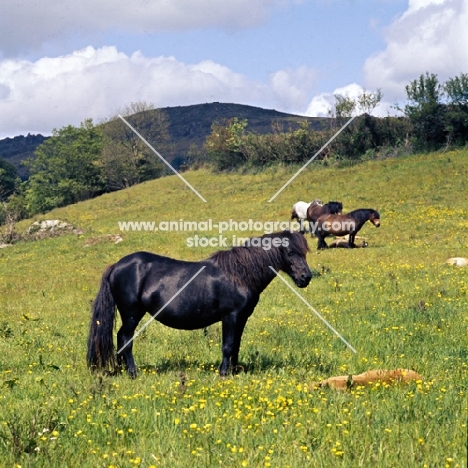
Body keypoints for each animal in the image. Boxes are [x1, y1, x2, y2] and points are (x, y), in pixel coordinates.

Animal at [88, 232, 312, 378]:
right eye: (290, 252)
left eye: (304, 252)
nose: (306, 277)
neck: (239, 274)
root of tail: (117, 265)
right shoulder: (230, 316)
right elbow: (228, 346)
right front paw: (224, 373)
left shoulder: (241, 318)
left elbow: (236, 345)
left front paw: (235, 371)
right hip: (132, 314)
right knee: (125, 338)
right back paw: (132, 373)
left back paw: (121, 370)